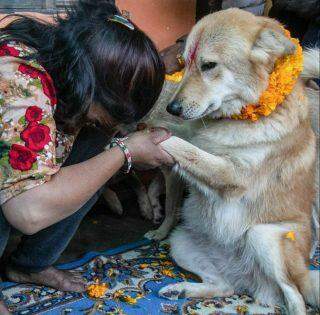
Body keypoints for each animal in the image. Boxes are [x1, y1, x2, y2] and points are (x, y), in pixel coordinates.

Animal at [143, 8, 320, 314]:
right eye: (185, 63)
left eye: (209, 65)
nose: (172, 108)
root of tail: (246, 278)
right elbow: (184, 143)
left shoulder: (231, 175)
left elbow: (185, 148)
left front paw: (139, 140)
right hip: (181, 242)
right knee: (223, 286)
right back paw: (181, 289)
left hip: (263, 236)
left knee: (295, 297)